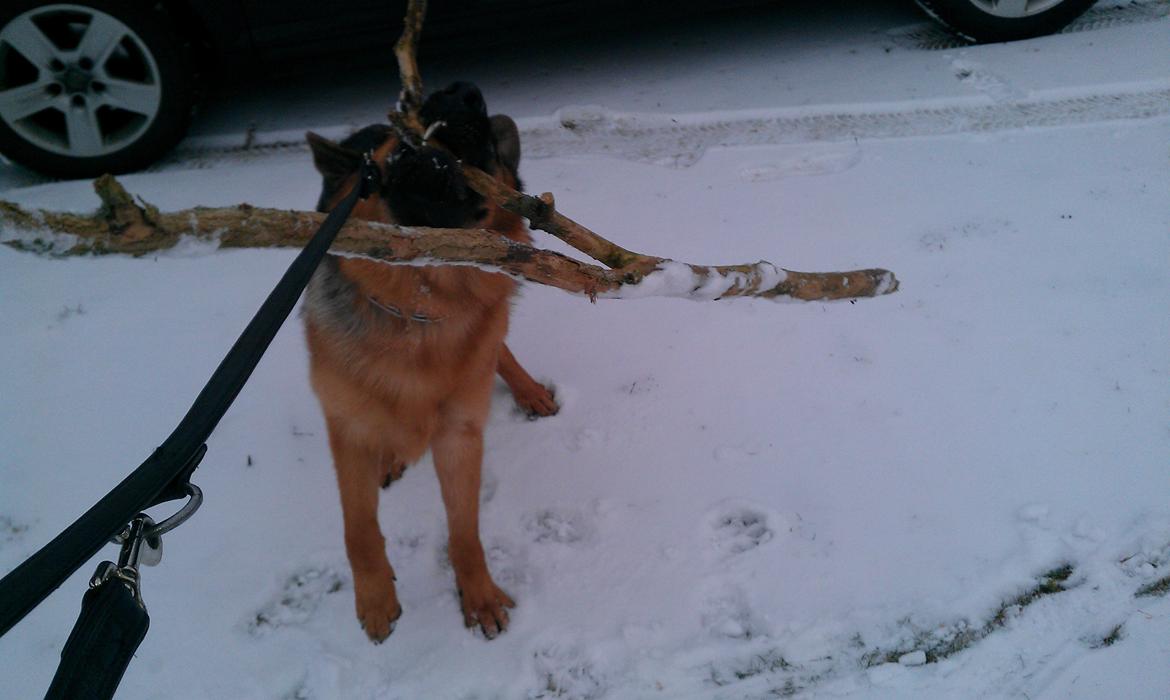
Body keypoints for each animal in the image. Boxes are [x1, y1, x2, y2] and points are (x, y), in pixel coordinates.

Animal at [301, 80, 556, 641]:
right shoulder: (346, 427)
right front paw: (375, 598)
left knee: (499, 348)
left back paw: (528, 390)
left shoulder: (460, 435)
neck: (419, 306)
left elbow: (464, 530)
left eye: (485, 148)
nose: (463, 93)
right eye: (397, 150)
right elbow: (358, 527)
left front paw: (478, 595)